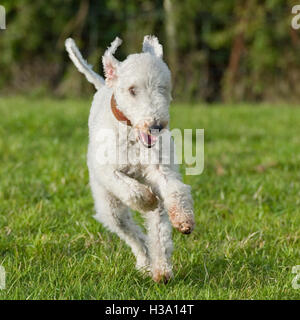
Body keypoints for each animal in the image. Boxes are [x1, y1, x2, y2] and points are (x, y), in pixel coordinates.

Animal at [65, 35, 195, 282]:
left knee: (158, 234)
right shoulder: (107, 169)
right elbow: (130, 189)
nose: (156, 125)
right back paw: (146, 263)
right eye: (132, 90)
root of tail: (105, 84)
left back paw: (161, 270)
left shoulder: (161, 168)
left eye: (162, 87)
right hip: (110, 207)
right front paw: (146, 200)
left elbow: (175, 190)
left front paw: (183, 219)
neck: (132, 135)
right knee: (133, 234)